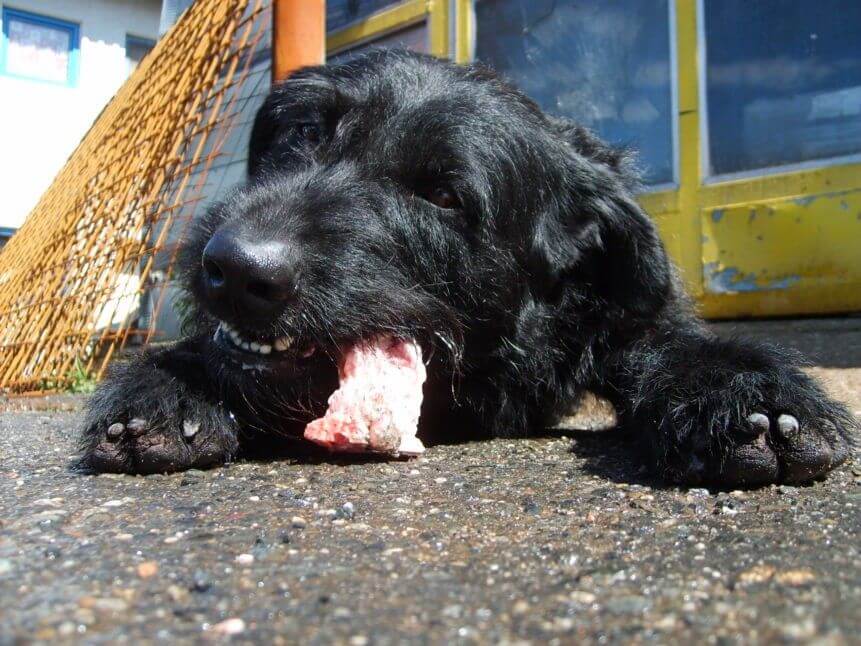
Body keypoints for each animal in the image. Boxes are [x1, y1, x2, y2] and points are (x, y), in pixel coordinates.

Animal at [79, 52, 852, 486]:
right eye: (304, 132)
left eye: (444, 195)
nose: (234, 267)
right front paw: (173, 382)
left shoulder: (631, 318)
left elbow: (676, 344)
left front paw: (741, 388)